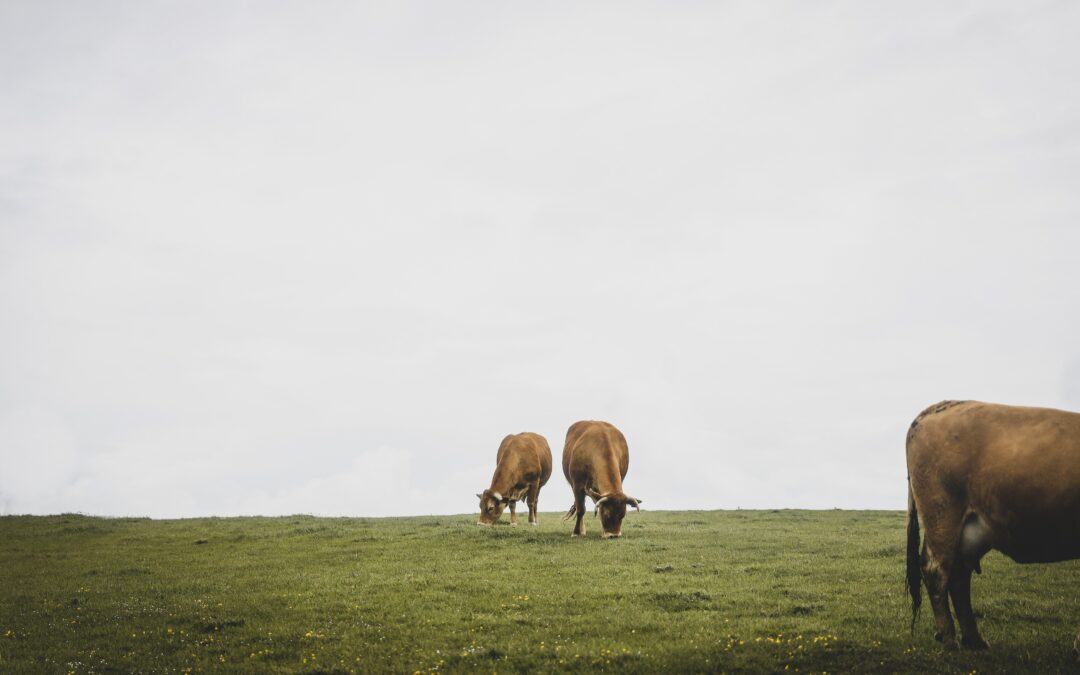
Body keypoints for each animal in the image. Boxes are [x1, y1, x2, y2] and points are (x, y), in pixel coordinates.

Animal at [907, 399, 1080, 652]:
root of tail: (940, 406)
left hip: (970, 531)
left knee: (959, 575)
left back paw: (974, 639)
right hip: (943, 517)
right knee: (937, 571)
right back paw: (949, 638)